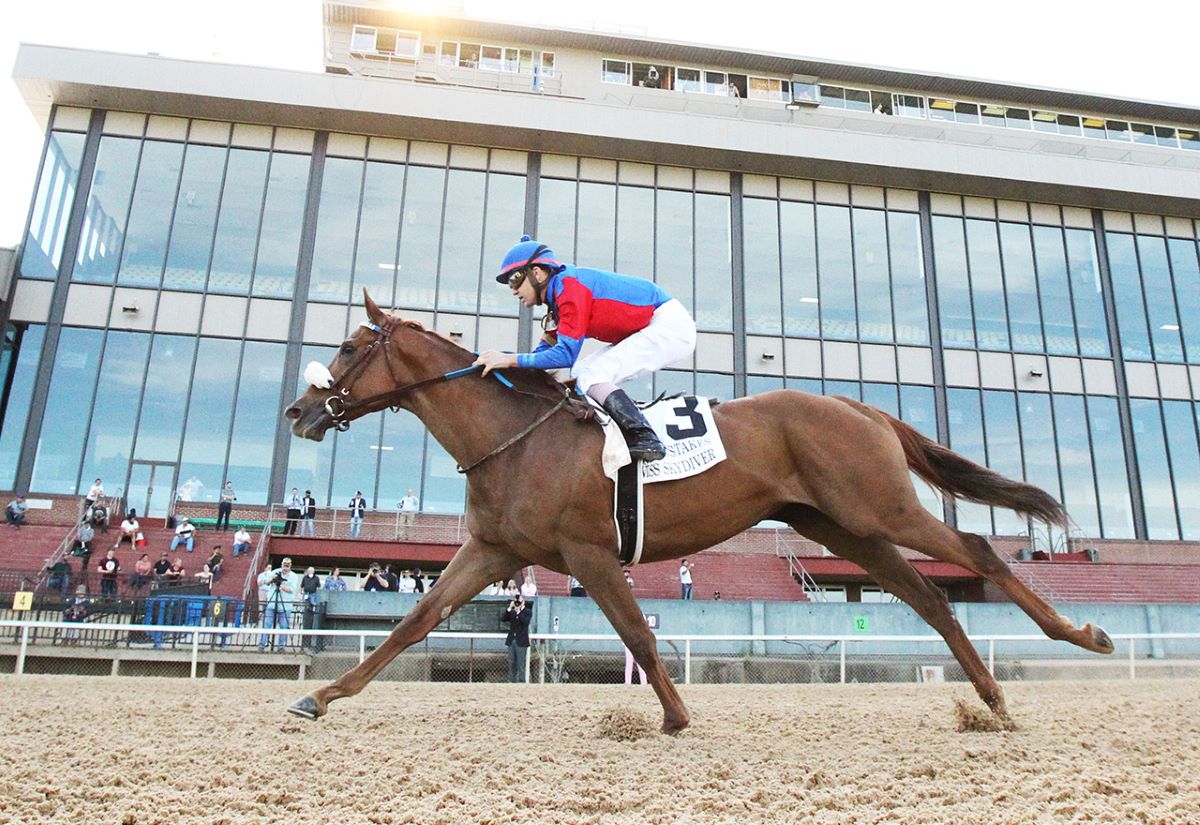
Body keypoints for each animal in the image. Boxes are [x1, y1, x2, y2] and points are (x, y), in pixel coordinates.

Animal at [285, 293, 1108, 733]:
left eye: (350, 345)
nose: (298, 410)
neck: (514, 437)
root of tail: (858, 405)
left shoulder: (587, 553)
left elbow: (640, 636)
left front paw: (675, 715)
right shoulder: (494, 549)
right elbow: (413, 622)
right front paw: (320, 696)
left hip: (880, 506)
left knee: (978, 551)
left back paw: (1083, 635)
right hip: (843, 526)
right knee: (935, 598)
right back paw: (993, 701)